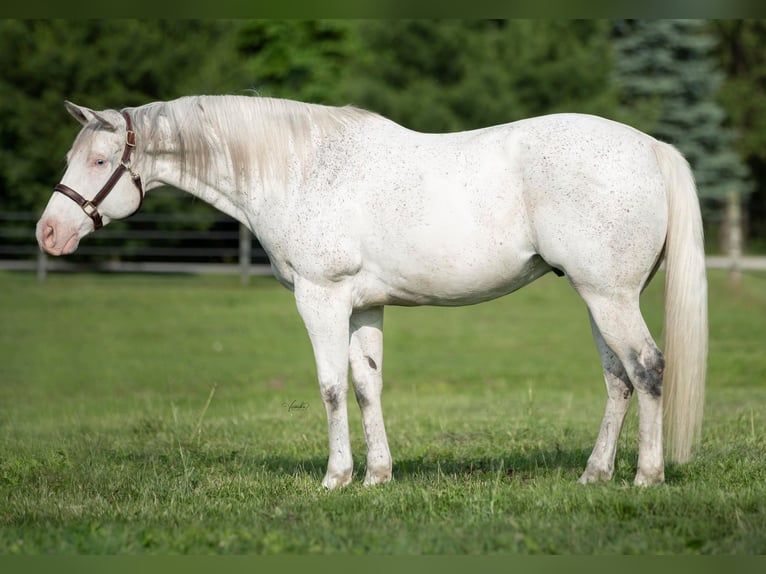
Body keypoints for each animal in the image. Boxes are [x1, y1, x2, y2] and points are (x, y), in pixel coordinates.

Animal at [36, 94, 708, 490]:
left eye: (99, 161)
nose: (49, 233)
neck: (300, 168)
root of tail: (650, 147)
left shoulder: (321, 298)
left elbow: (331, 387)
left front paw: (335, 478)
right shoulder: (364, 307)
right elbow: (366, 387)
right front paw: (377, 476)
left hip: (609, 296)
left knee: (648, 367)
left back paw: (647, 477)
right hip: (601, 298)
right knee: (619, 378)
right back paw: (595, 475)